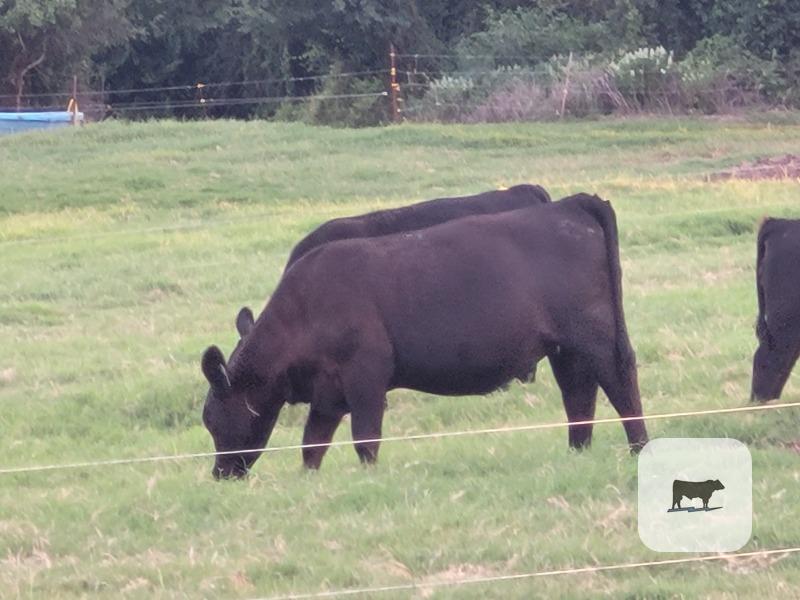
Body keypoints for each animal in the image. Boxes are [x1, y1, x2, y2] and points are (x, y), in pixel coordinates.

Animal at [201, 193, 648, 479]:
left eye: (212, 418)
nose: (220, 473)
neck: (304, 312)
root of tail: (572, 203)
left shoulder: (366, 377)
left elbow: (365, 439)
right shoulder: (328, 392)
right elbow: (313, 445)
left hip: (595, 336)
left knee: (620, 382)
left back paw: (639, 449)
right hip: (564, 348)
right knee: (578, 394)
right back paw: (577, 453)